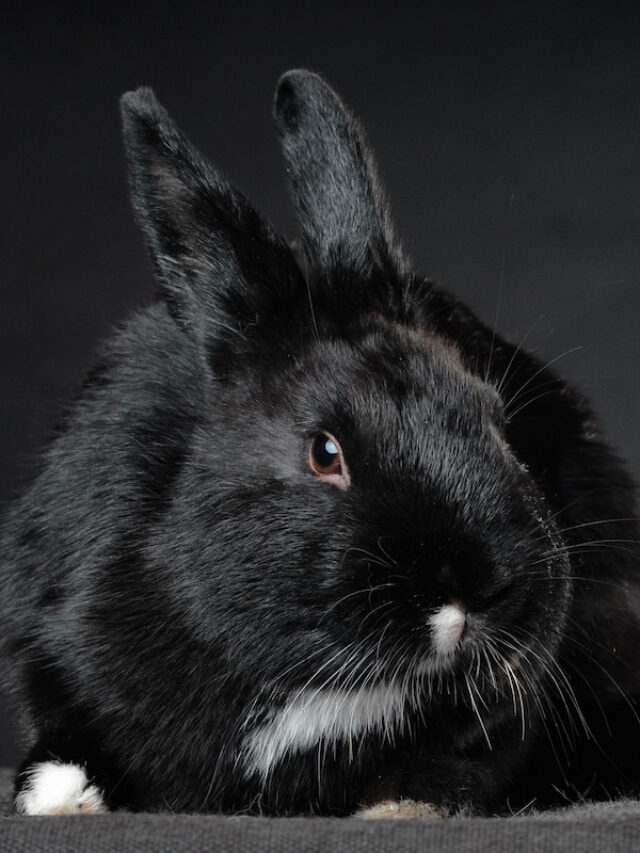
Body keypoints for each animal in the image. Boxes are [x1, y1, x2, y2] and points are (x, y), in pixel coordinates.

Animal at [3, 68, 640, 819]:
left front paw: (398, 807)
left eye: (494, 418)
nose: (482, 587)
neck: (320, 679)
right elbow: (68, 743)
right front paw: (52, 796)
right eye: (324, 452)